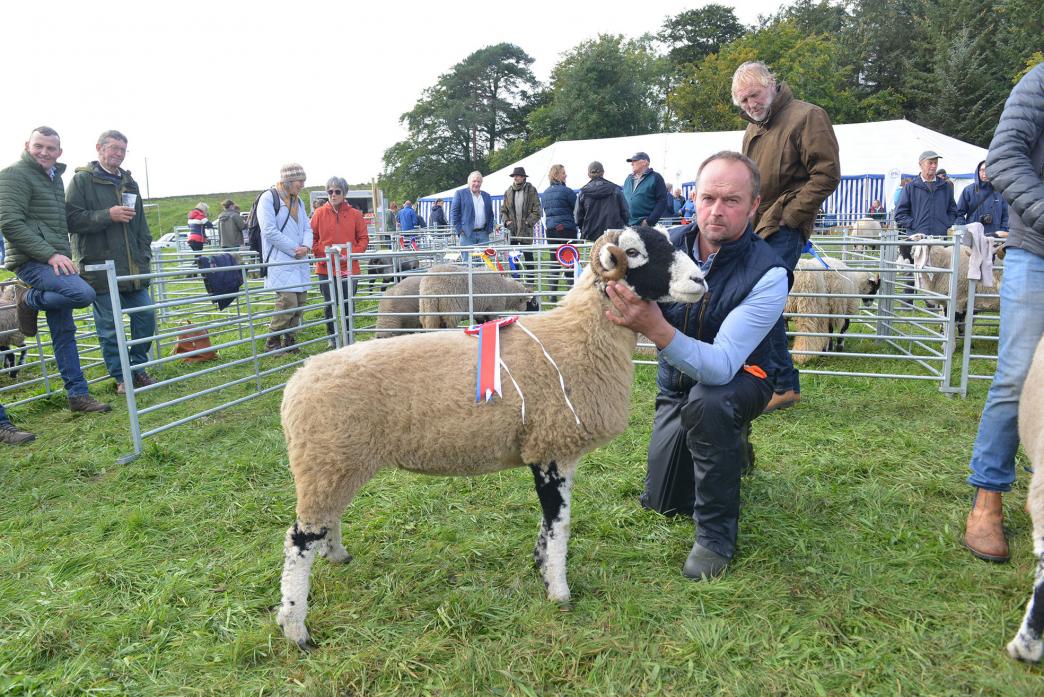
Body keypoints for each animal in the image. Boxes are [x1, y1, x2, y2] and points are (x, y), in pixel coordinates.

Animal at [273, 226, 705, 651]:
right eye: (633, 253)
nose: (700, 281)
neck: (578, 336)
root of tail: (297, 382)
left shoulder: (550, 450)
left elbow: (550, 523)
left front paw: (540, 564)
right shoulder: (552, 449)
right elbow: (560, 524)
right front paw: (559, 591)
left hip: (335, 464)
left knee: (326, 520)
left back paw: (337, 556)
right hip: (326, 462)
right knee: (298, 541)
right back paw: (296, 628)